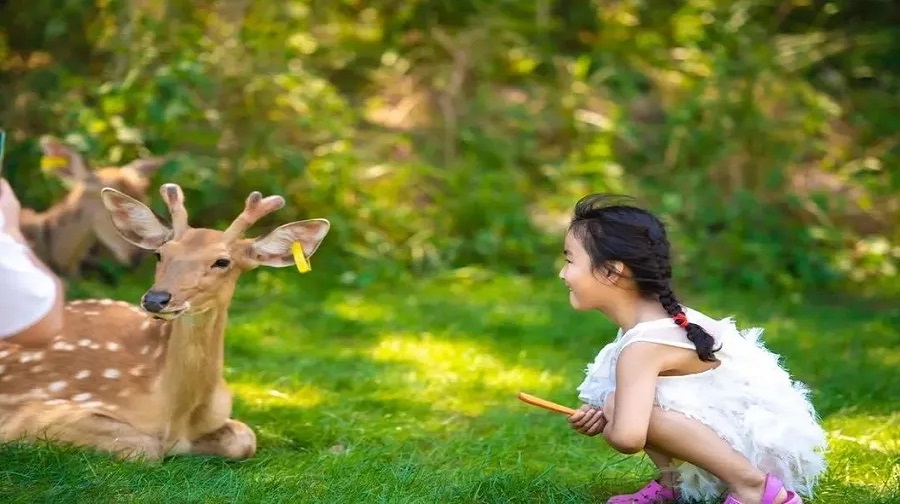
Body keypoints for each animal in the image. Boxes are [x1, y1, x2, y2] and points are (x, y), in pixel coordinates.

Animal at [0, 181, 330, 460]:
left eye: (223, 261)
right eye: (160, 253)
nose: (156, 299)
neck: (176, 414)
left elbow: (245, 438)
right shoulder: (40, 407)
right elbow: (146, 448)